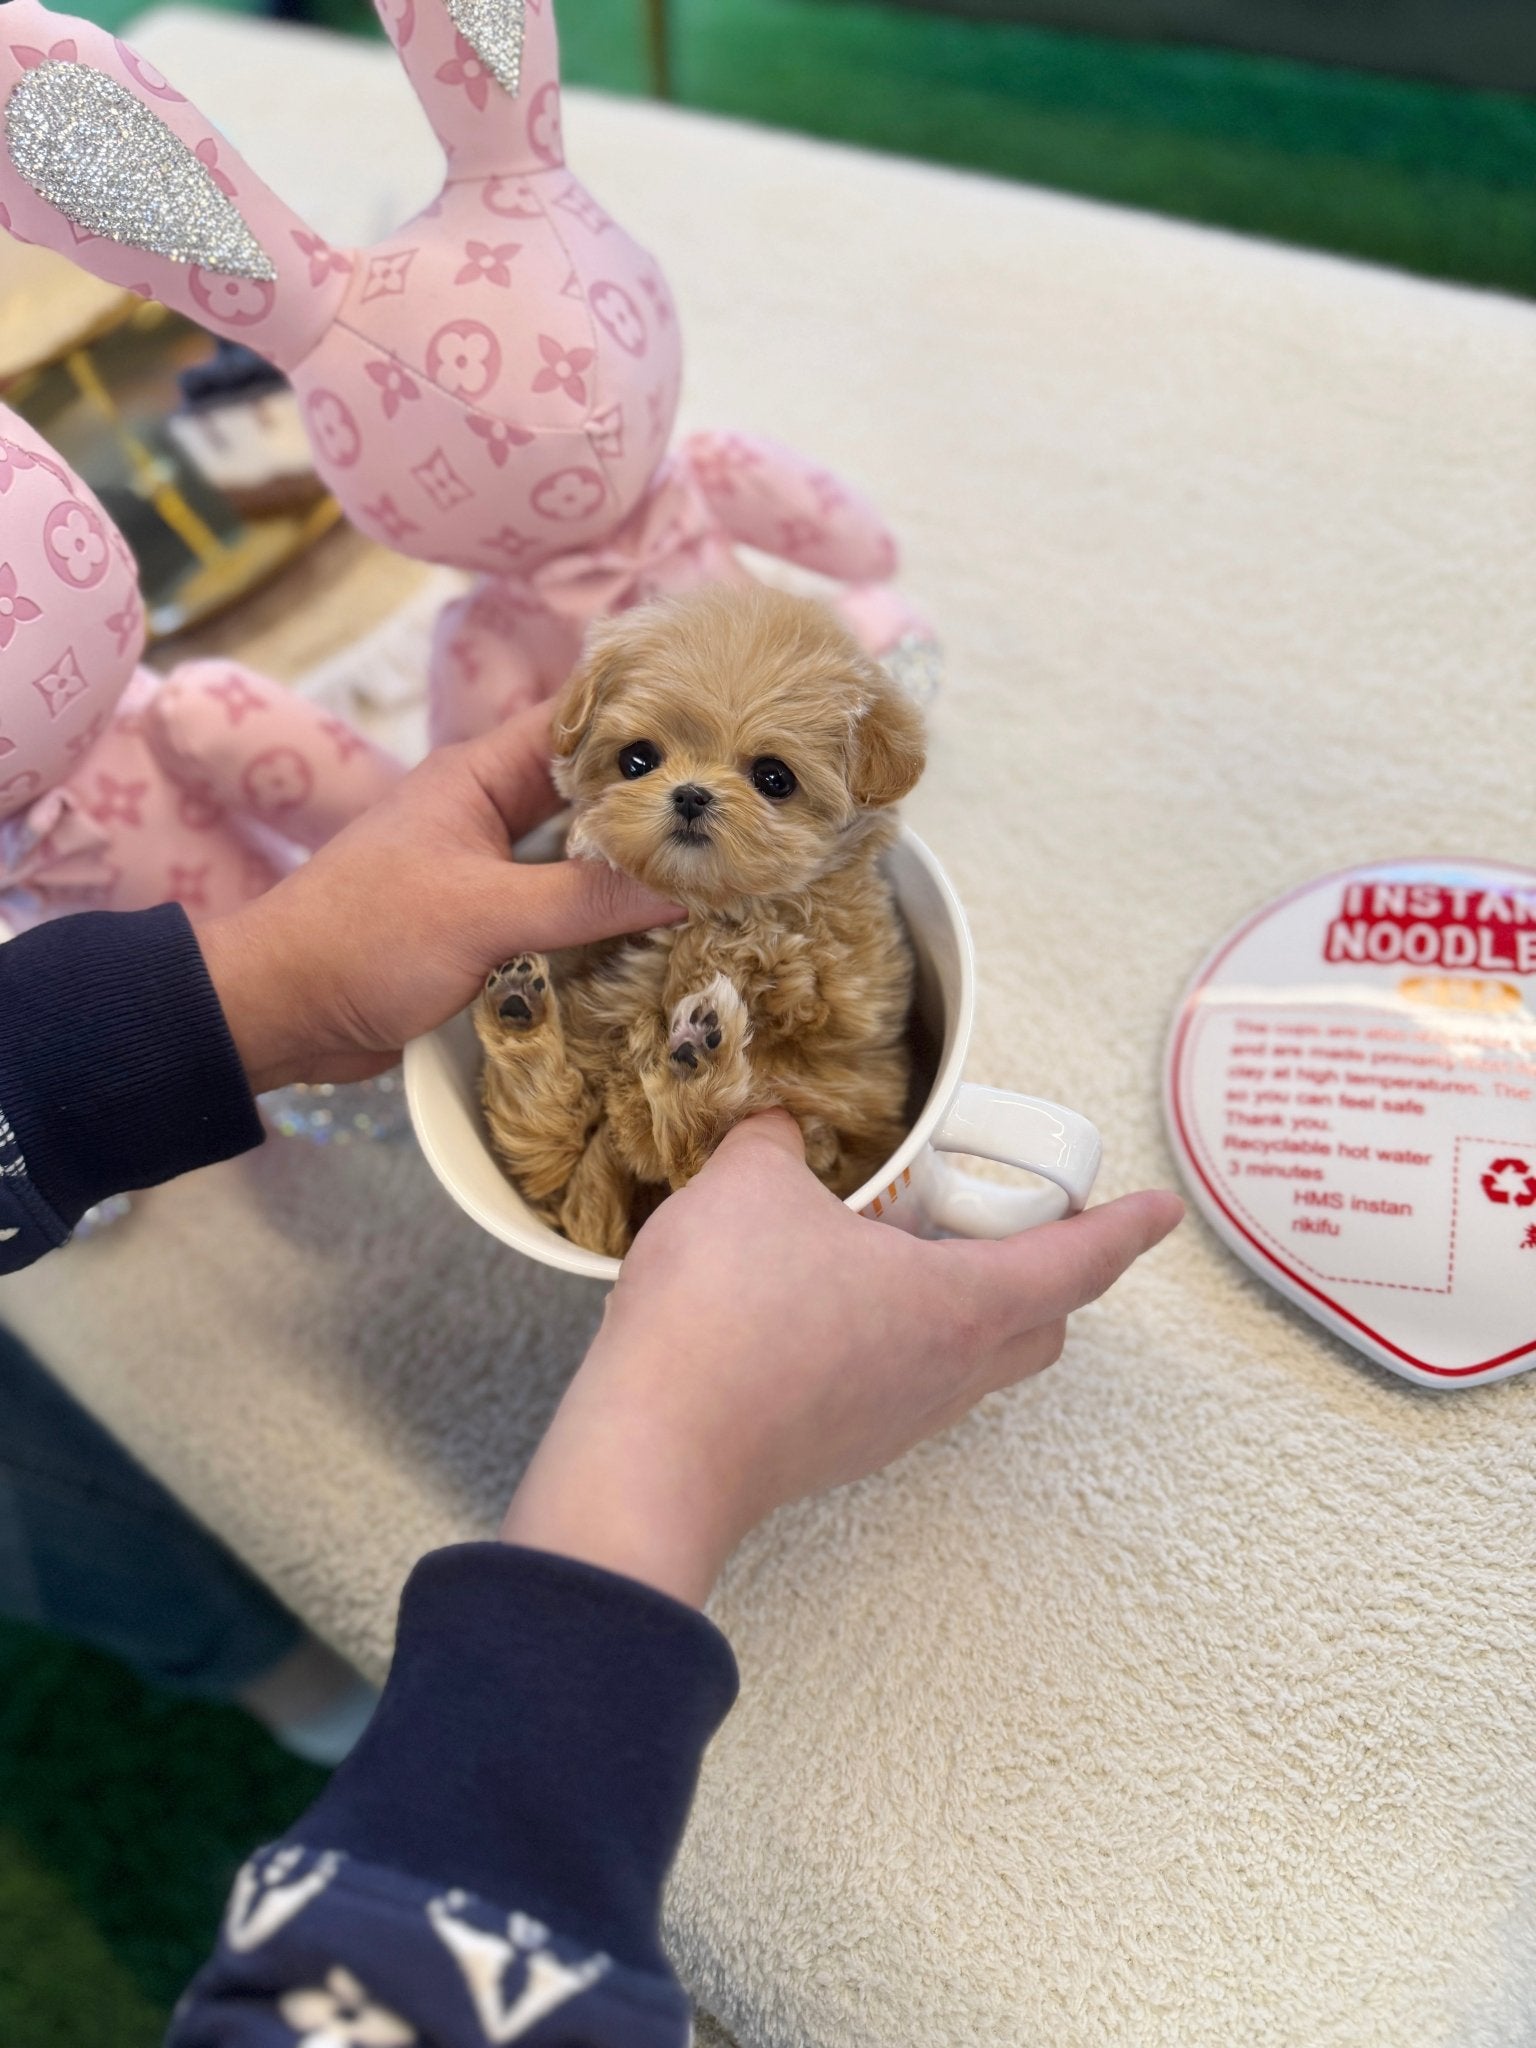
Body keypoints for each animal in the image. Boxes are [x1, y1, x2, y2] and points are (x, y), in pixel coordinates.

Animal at [475, 577, 925, 1245]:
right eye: (637, 760)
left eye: (774, 778)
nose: (690, 794)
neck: (703, 901)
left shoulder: (837, 991)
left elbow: (786, 971)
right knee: (557, 1134)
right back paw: (521, 1014)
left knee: (690, 1149)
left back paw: (694, 1058)